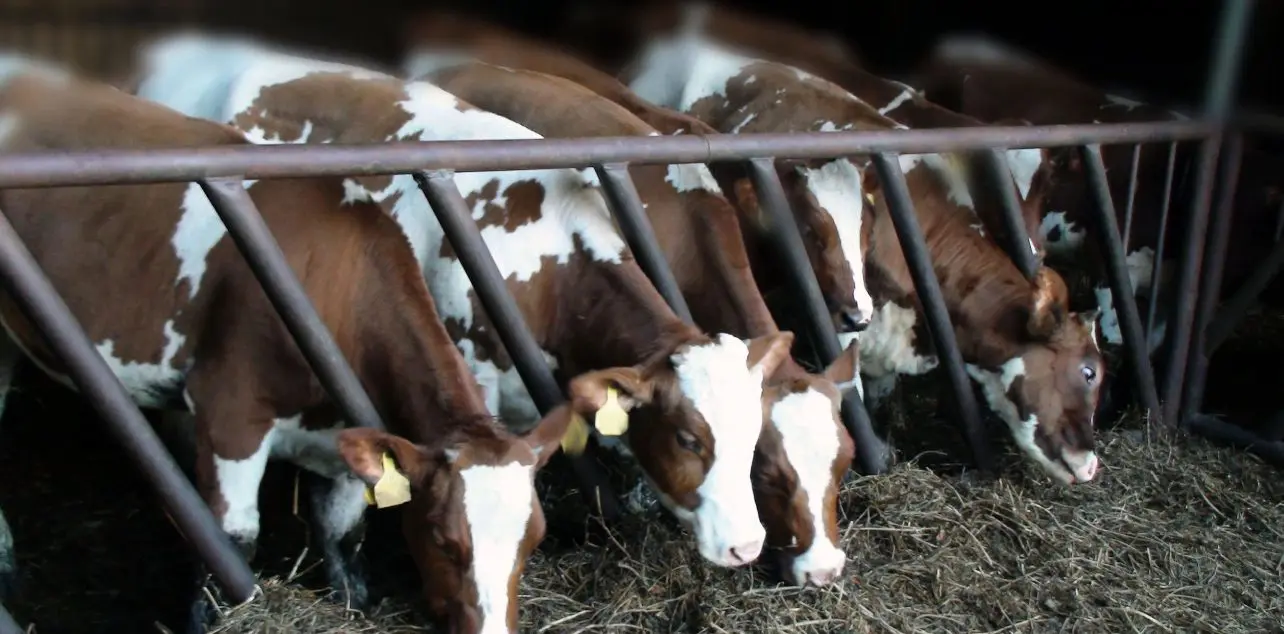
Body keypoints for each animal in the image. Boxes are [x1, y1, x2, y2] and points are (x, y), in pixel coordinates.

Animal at [0, 54, 577, 634]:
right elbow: (235, 544)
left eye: (536, 538)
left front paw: (353, 604)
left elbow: (346, 534)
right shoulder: (232, 413)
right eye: (443, 539)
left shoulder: (350, 430)